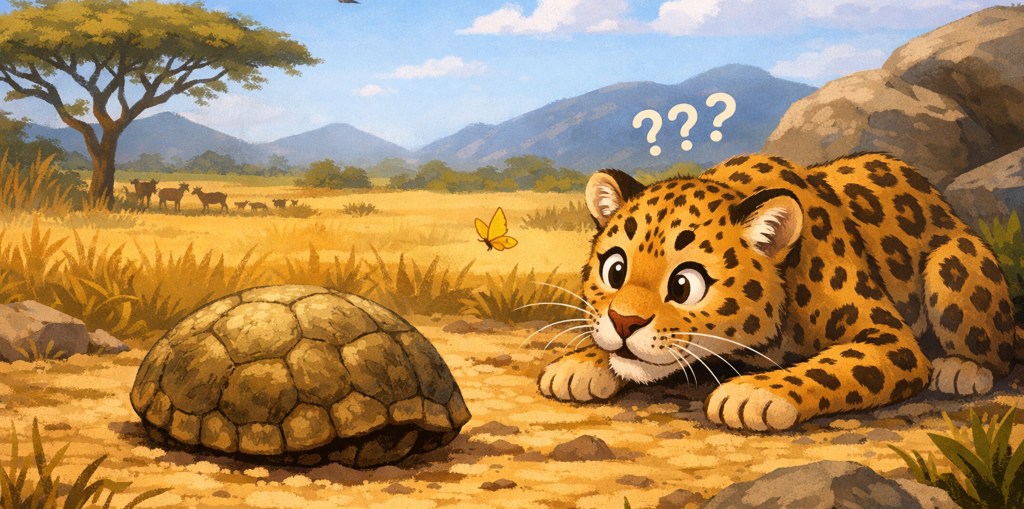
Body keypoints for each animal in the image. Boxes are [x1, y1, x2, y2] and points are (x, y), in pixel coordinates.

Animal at [539, 153, 1023, 431]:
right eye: (615, 269)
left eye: (683, 284)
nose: (625, 322)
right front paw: (579, 363)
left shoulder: (890, 338)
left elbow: (832, 368)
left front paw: (756, 393)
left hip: (954, 259)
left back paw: (962, 368)